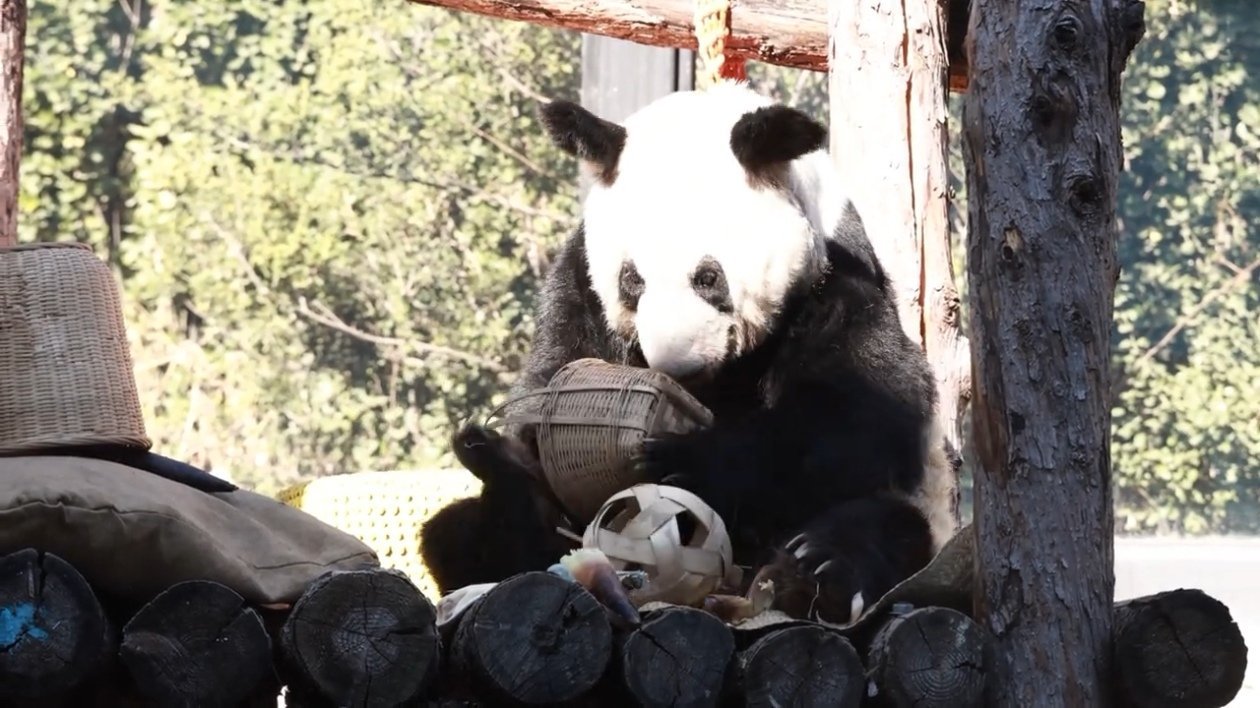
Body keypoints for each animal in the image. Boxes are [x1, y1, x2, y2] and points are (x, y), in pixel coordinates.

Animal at [418, 81, 957, 622]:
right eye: (632, 280)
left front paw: (683, 459)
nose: (679, 367)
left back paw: (811, 569)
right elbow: (547, 379)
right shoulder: (579, 282)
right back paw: (510, 493)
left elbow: (861, 409)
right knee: (459, 533)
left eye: (708, 277)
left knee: (886, 526)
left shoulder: (837, 276)